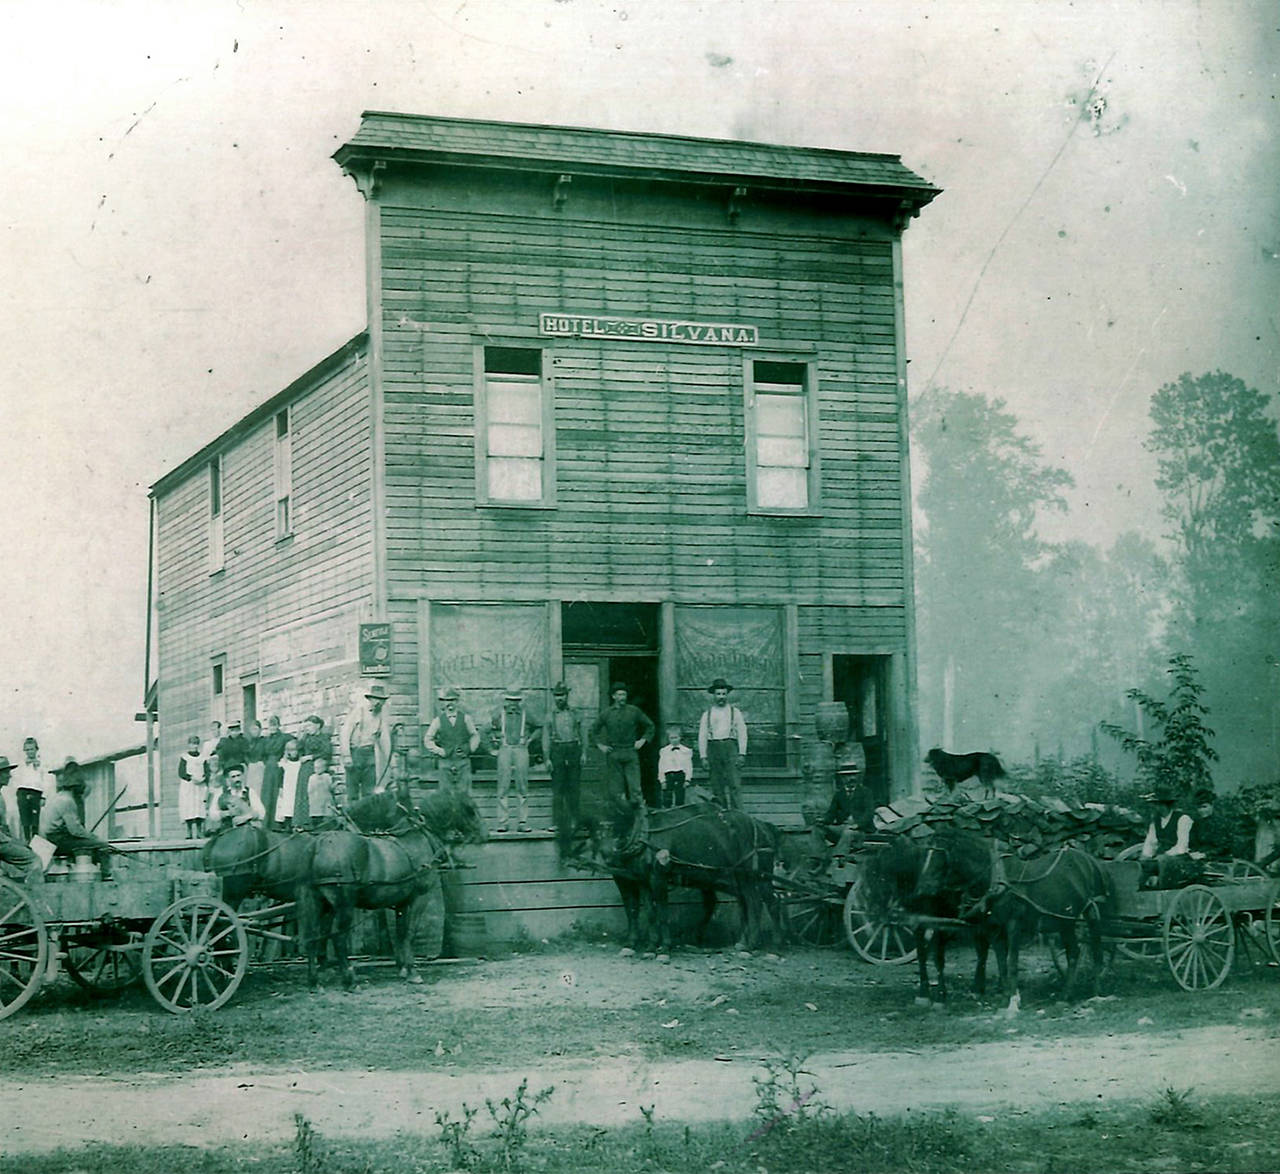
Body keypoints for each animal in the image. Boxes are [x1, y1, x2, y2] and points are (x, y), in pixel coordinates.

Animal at [296, 788, 486, 988]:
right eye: (471, 808)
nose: (485, 834)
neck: (419, 837)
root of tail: (320, 843)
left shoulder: (402, 901)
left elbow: (401, 933)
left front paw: (403, 968)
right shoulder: (419, 899)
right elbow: (410, 933)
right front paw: (412, 971)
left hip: (321, 903)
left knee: (314, 936)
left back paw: (315, 980)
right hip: (343, 905)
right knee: (338, 938)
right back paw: (350, 979)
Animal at [578, 798, 778, 952]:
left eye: (614, 824)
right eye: (592, 828)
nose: (608, 855)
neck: (642, 834)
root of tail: (761, 825)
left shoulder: (657, 877)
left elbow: (662, 911)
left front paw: (664, 946)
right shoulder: (639, 879)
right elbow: (644, 911)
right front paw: (645, 944)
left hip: (748, 875)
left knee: (755, 902)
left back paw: (752, 944)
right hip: (736, 877)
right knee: (751, 902)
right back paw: (748, 941)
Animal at [916, 829, 1116, 1013]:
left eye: (939, 855)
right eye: (926, 854)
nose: (921, 889)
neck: (996, 881)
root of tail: (1091, 861)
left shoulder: (1013, 925)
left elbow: (1012, 962)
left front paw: (1013, 1001)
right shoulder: (994, 928)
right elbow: (1001, 962)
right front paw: (1007, 994)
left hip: (1091, 913)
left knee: (1097, 951)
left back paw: (1097, 992)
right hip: (1065, 921)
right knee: (1074, 953)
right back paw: (1066, 995)